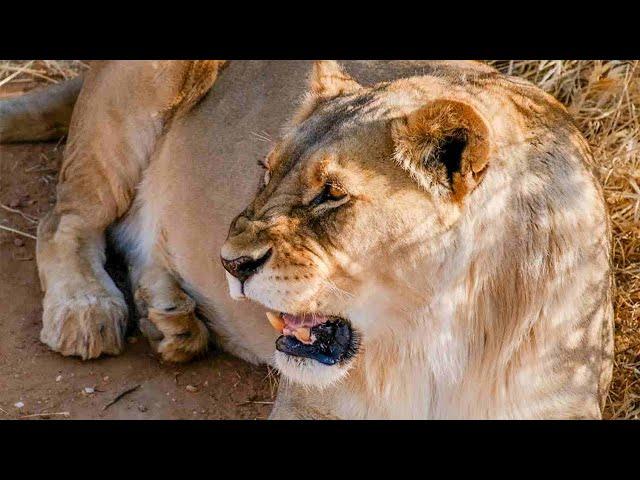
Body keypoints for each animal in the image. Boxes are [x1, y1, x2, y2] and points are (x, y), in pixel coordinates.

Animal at [0, 61, 616, 420]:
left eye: (330, 195)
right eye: (264, 171)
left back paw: (170, 319)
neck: (436, 338)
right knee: (64, 222)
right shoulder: (311, 405)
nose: (229, 263)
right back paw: (87, 310)